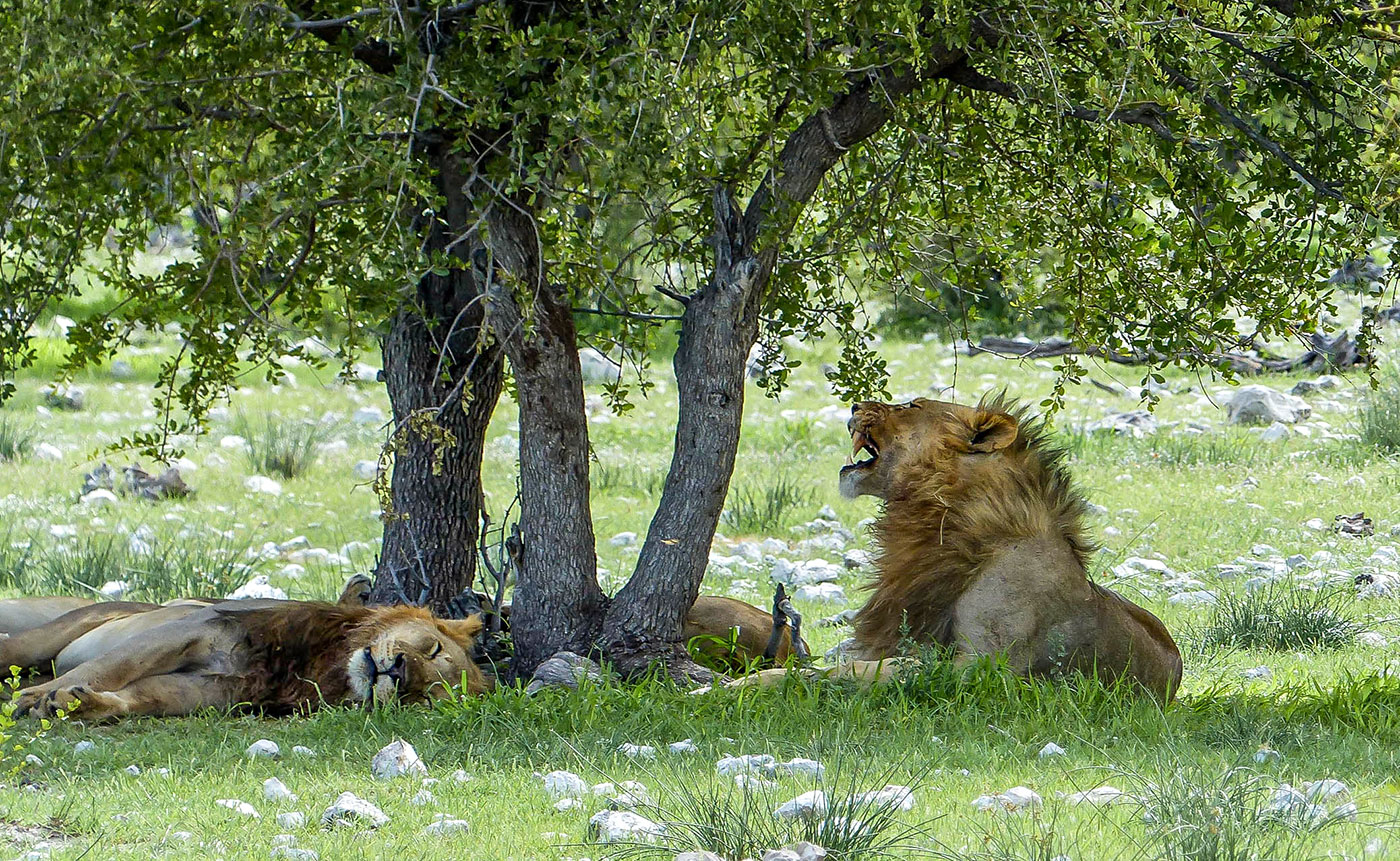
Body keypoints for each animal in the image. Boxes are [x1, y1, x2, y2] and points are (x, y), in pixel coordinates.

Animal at [13, 599, 487, 721]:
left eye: (425, 698)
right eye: (433, 649)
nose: (400, 672)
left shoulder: (212, 691)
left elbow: (138, 696)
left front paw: (79, 704)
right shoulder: (200, 627)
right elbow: (111, 667)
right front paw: (38, 696)